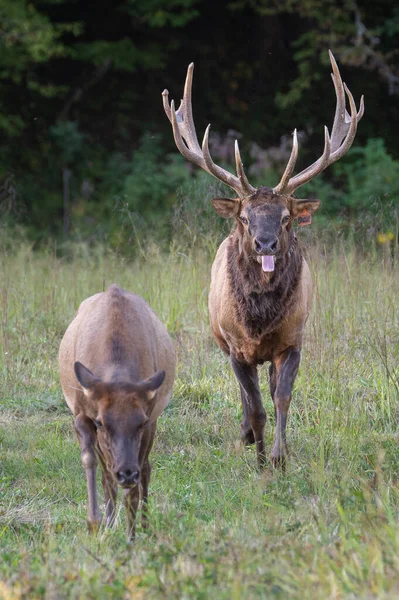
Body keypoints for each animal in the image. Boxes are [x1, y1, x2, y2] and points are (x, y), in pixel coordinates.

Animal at [59, 284, 175, 536]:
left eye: (140, 421)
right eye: (101, 422)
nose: (126, 473)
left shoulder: (150, 418)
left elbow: (136, 482)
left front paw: (131, 535)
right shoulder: (81, 413)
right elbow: (90, 461)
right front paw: (95, 522)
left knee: (146, 469)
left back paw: (144, 523)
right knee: (108, 474)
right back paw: (110, 521)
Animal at [163, 50, 366, 468]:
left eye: (286, 216)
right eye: (245, 217)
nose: (266, 244)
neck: (259, 321)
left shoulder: (293, 339)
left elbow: (281, 398)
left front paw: (279, 456)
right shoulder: (234, 345)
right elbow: (254, 404)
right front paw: (258, 458)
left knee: (269, 389)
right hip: (221, 339)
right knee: (246, 394)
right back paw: (244, 436)